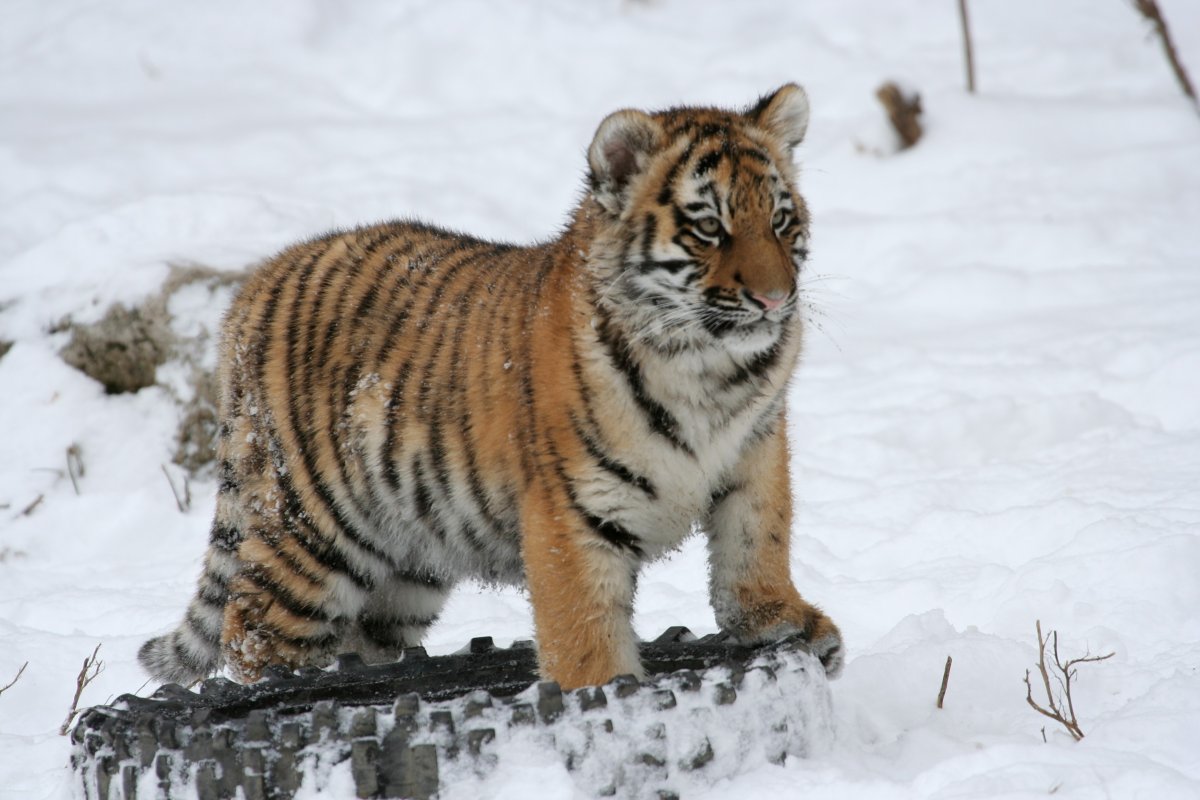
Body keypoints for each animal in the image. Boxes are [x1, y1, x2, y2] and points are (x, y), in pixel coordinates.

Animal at [139, 83, 843, 691]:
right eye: (708, 228)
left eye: (780, 221)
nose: (775, 299)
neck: (708, 368)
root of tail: (255, 282)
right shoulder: (572, 508)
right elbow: (583, 624)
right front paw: (601, 693)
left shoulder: (755, 454)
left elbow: (756, 543)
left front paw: (783, 621)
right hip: (311, 533)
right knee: (251, 632)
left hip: (408, 560)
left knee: (362, 637)